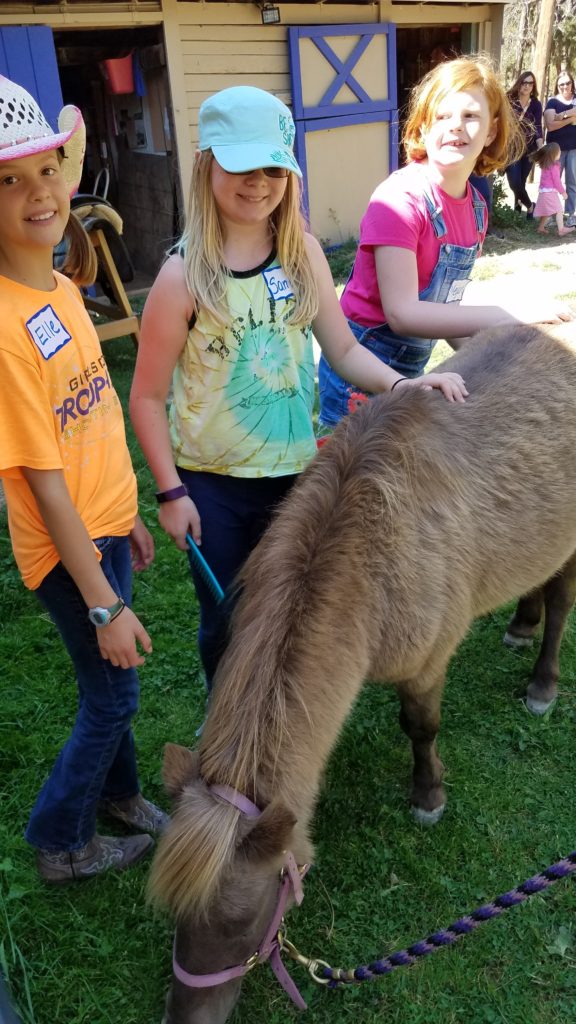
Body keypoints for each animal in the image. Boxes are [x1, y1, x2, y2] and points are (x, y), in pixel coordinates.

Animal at [150, 325, 573, 1024]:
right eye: (175, 918)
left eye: (242, 922)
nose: (186, 1019)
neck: (367, 550)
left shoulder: (425, 663)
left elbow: (420, 726)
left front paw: (428, 797)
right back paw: (520, 622)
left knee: (562, 604)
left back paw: (542, 683)